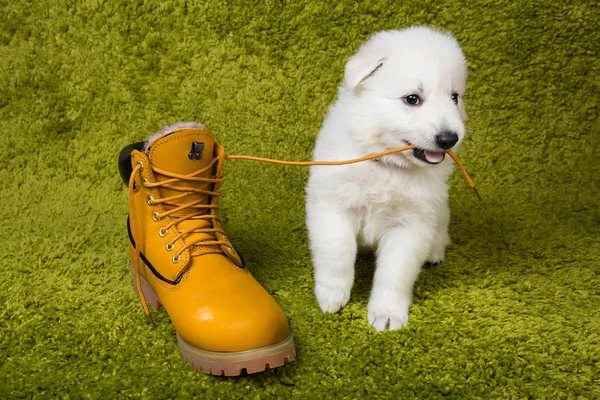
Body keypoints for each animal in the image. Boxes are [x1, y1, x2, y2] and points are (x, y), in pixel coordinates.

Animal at [304, 25, 468, 332]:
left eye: (455, 97)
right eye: (412, 99)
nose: (449, 139)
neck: (387, 165)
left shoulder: (411, 224)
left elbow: (395, 273)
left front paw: (387, 314)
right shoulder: (332, 204)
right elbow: (337, 251)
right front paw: (332, 296)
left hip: (439, 209)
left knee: (442, 230)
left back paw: (434, 251)